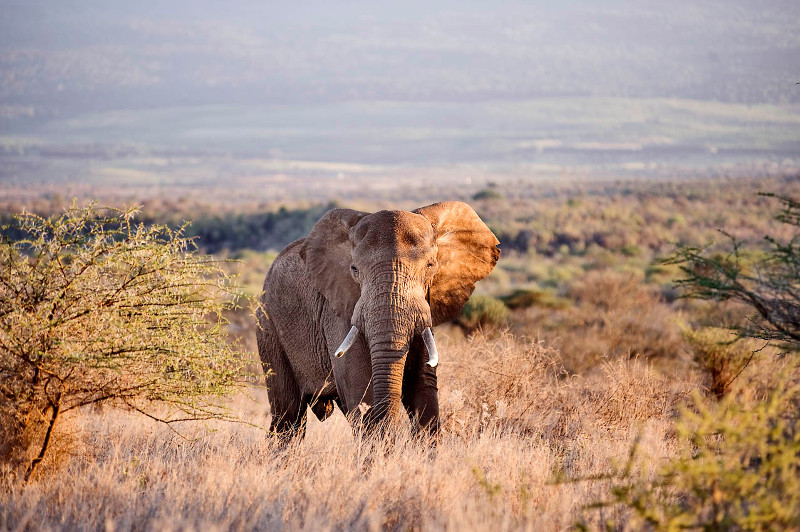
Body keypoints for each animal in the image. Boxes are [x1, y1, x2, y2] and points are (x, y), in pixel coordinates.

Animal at [256, 202, 496, 434]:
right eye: (354, 269)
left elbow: (423, 384)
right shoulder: (339, 310)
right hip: (268, 327)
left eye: (430, 266)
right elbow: (360, 385)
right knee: (288, 417)